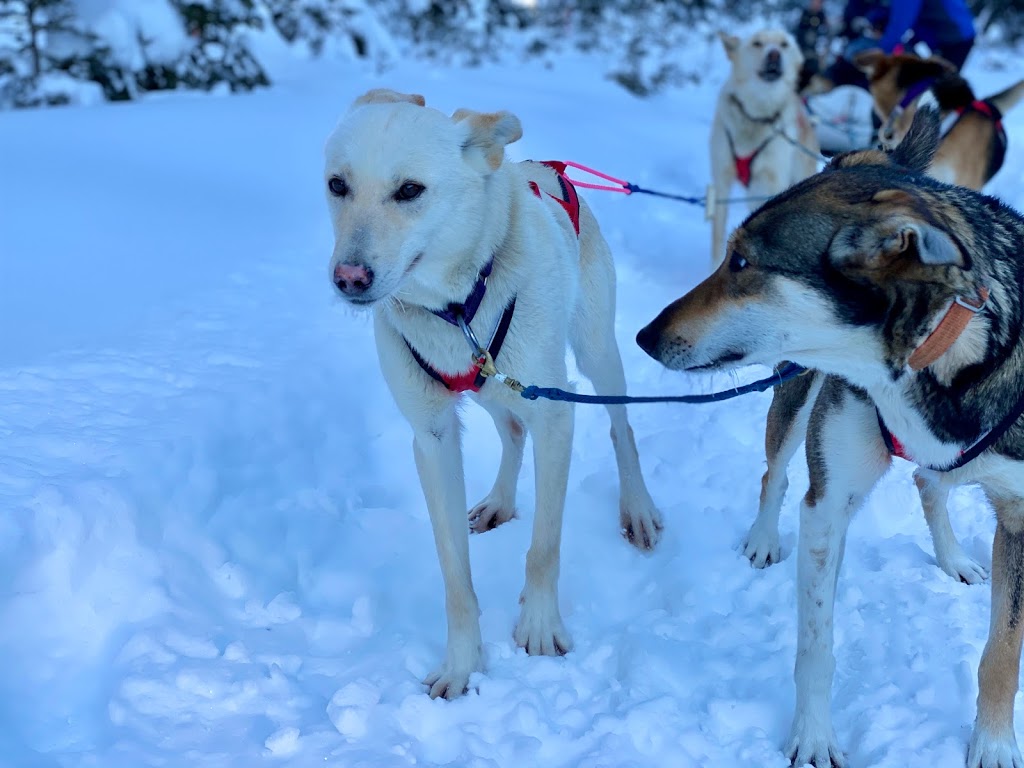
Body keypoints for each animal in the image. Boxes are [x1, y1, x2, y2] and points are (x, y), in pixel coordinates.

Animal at [327, 87, 663, 700]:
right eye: (338, 184)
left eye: (409, 190)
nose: (350, 278)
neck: (456, 306)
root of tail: (547, 168)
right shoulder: (432, 436)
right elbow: (455, 577)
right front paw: (463, 663)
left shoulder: (556, 414)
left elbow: (544, 546)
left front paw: (539, 626)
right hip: (489, 385)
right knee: (510, 431)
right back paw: (500, 501)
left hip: (595, 352)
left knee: (619, 426)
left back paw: (638, 507)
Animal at [708, 29, 819, 268]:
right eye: (757, 43)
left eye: (784, 44)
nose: (774, 54)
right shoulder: (721, 183)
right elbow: (718, 236)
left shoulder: (769, 183)